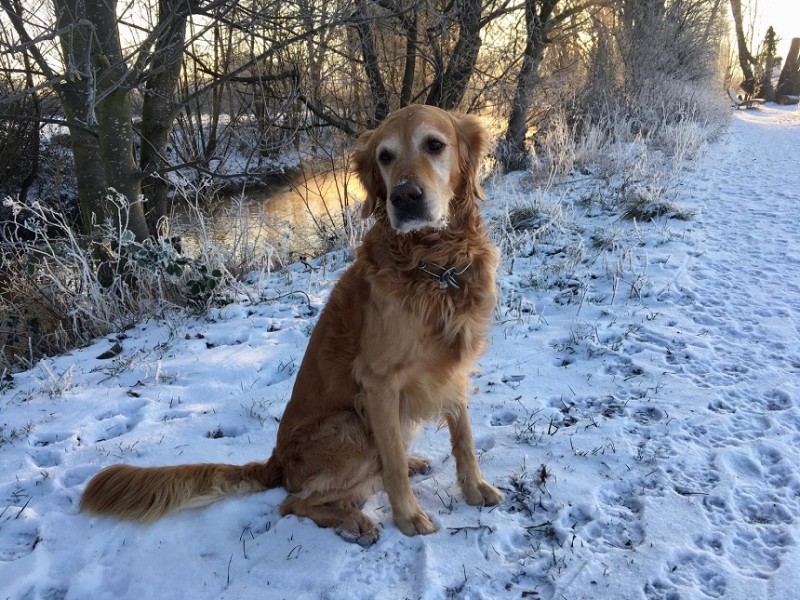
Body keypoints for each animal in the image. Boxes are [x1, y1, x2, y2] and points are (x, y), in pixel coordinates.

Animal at [80, 105, 503, 544]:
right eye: (385, 157)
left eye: (434, 145)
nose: (404, 197)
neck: (435, 266)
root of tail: (276, 462)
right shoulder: (378, 383)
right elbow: (393, 469)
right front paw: (408, 518)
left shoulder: (452, 366)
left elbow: (464, 437)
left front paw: (476, 489)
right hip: (350, 423)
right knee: (296, 503)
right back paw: (354, 519)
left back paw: (409, 463)